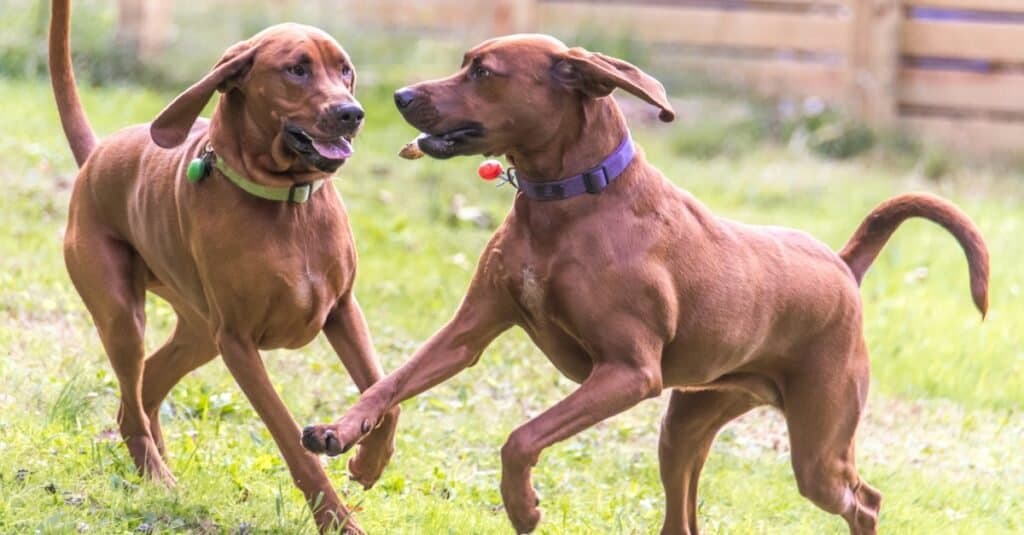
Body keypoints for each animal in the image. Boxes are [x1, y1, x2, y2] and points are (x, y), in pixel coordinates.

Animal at [49, 2, 399, 528]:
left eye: (345, 70)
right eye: (296, 69)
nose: (351, 113)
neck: (287, 204)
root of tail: (97, 154)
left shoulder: (343, 310)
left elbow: (385, 396)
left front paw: (367, 463)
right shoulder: (237, 342)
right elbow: (291, 440)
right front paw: (337, 520)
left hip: (198, 333)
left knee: (147, 386)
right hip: (124, 317)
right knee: (132, 402)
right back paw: (158, 477)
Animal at [303, 34, 991, 532]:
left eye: (483, 72)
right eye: (464, 63)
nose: (397, 95)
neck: (571, 201)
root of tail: (843, 266)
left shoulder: (629, 373)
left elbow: (520, 438)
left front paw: (522, 505)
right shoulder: (470, 330)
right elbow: (391, 382)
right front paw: (344, 436)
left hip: (818, 446)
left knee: (864, 499)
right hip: (688, 423)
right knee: (683, 515)